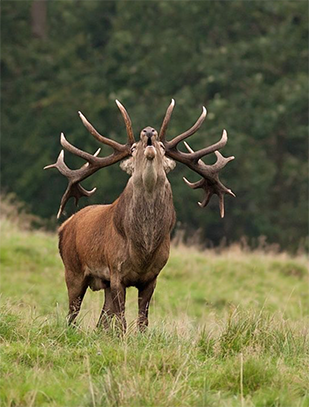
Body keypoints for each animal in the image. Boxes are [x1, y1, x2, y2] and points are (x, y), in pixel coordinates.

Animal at [44, 99, 235, 332]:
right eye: (134, 148)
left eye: (163, 147)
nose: (149, 131)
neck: (144, 250)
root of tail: (64, 226)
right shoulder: (116, 271)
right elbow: (122, 319)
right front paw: (124, 337)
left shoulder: (152, 275)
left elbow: (143, 319)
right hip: (72, 269)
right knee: (72, 314)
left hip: (102, 282)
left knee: (101, 321)